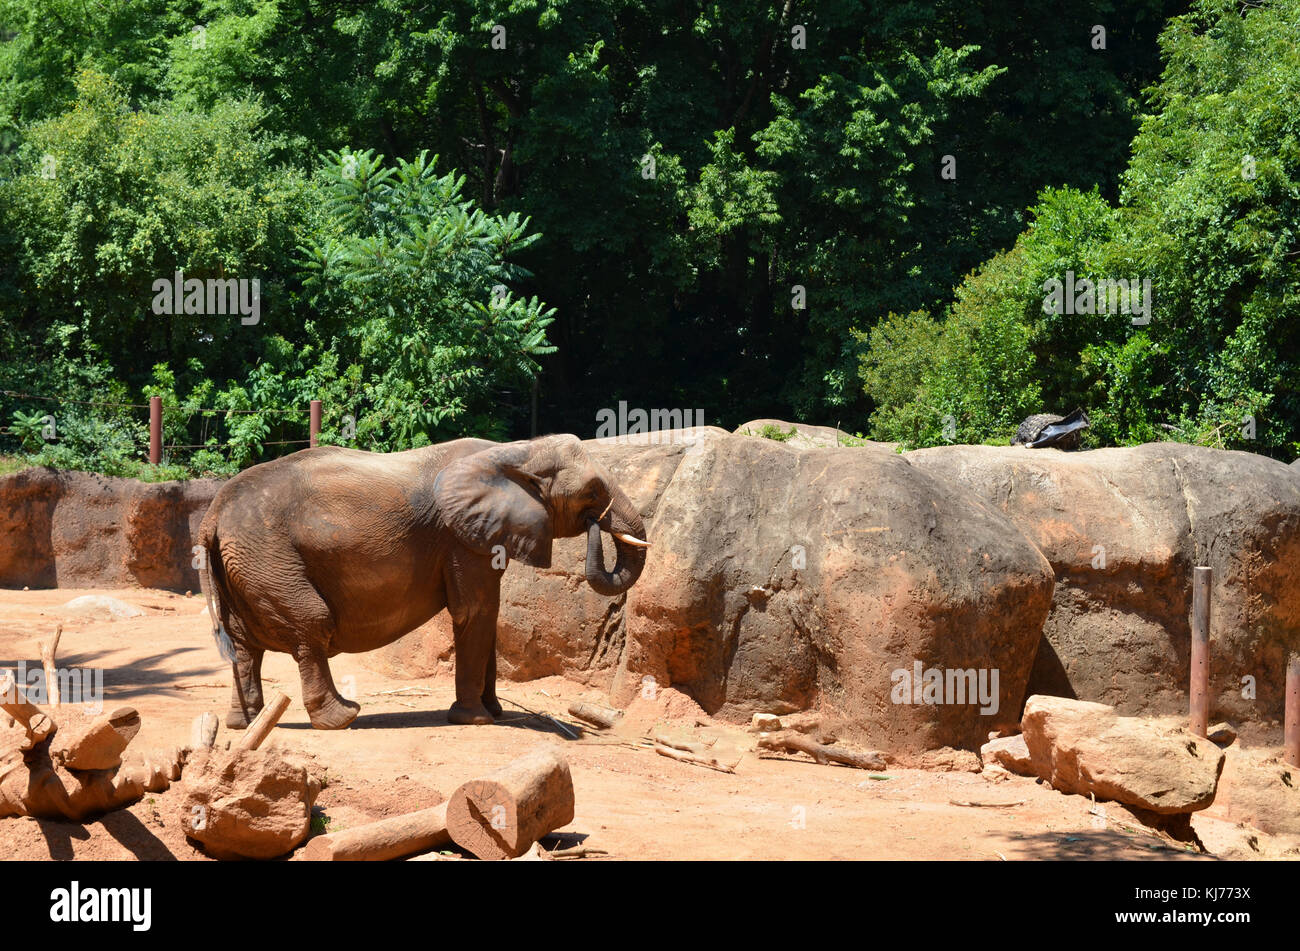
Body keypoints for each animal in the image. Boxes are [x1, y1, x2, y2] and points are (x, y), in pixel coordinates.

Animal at [196, 433, 650, 732]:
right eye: (593, 491)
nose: (596, 525)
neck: (515, 450)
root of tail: (211, 513)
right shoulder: (461, 538)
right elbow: (475, 611)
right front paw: (477, 719)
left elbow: (489, 615)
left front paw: (495, 712)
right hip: (268, 556)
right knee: (311, 624)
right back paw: (341, 717)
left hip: (244, 563)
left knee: (243, 645)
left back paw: (244, 724)